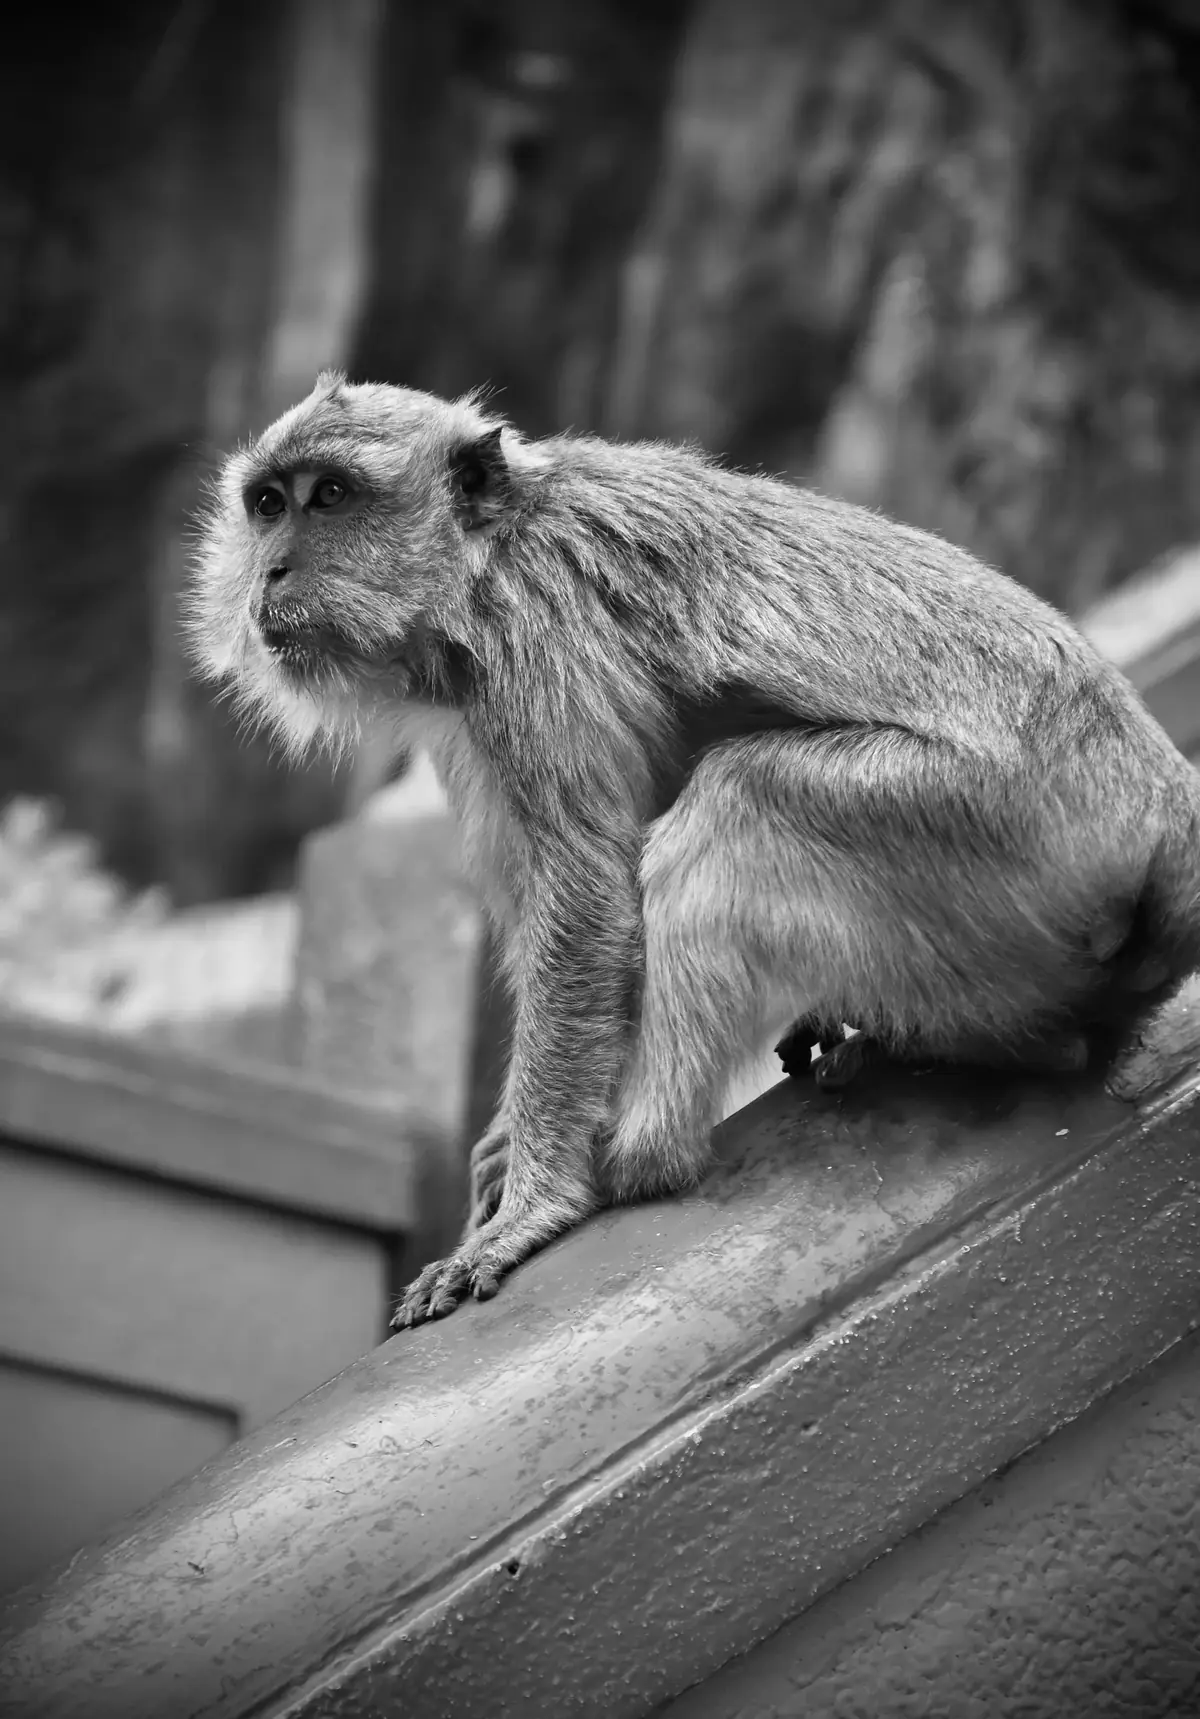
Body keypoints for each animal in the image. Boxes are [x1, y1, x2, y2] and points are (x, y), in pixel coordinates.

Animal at [188, 370, 1200, 1326]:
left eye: (330, 497)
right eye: (269, 503)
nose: (271, 571)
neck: (487, 552)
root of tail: (1161, 799)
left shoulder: (536, 633)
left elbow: (585, 889)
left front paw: (535, 1198)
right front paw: (507, 1148)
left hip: (1003, 829)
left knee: (740, 802)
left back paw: (645, 1155)